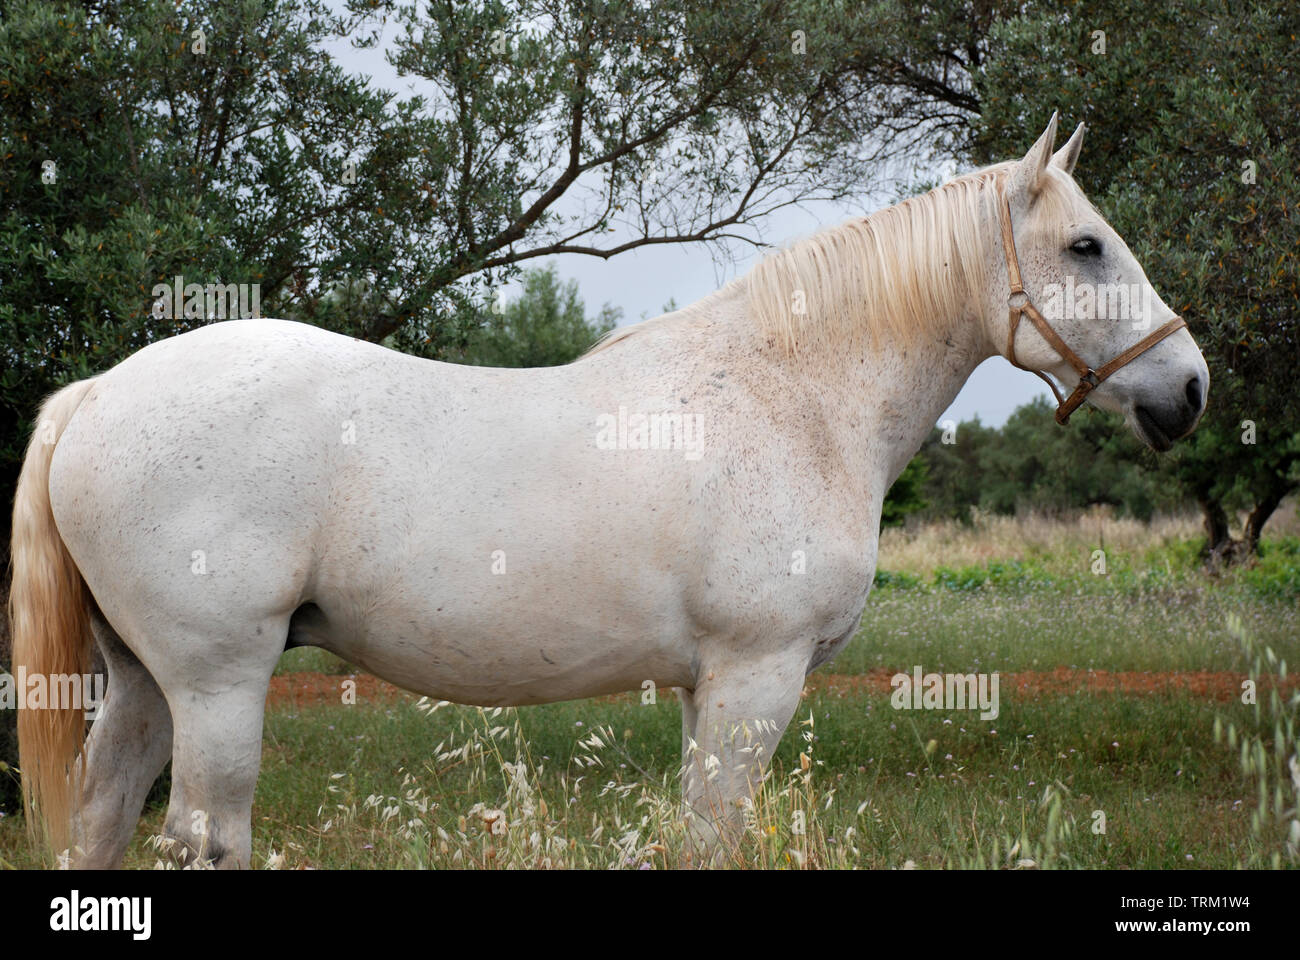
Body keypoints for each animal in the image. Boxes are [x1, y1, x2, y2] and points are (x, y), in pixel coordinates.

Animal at [10, 110, 1206, 858]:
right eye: (1087, 246)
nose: (1189, 389)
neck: (793, 394)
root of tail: (98, 396)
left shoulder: (704, 689)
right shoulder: (756, 677)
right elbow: (717, 838)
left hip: (144, 685)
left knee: (102, 825)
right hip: (217, 683)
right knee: (203, 839)